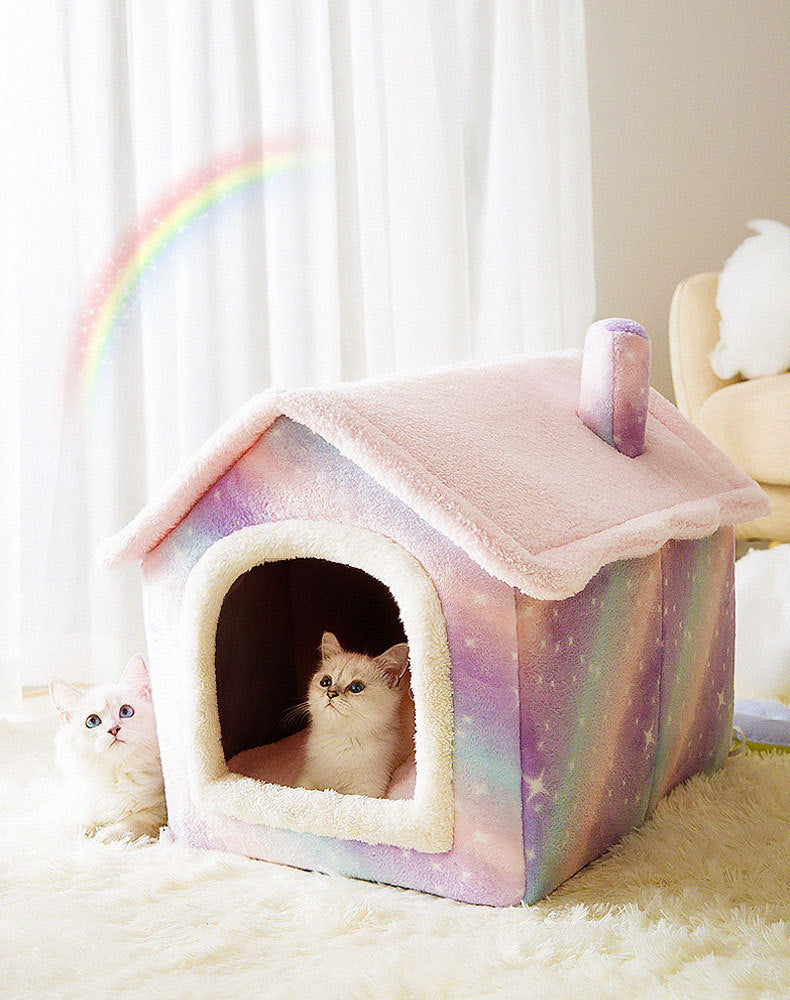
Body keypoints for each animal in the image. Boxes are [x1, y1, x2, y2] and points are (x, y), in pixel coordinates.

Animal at [48, 652, 166, 840]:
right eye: (92, 721)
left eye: (126, 711)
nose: (113, 729)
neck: (117, 774)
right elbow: (83, 821)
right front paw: (78, 833)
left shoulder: (160, 809)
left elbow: (133, 821)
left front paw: (105, 836)